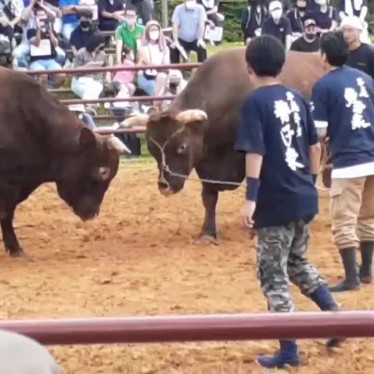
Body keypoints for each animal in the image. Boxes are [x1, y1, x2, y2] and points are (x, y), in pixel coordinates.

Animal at [122, 48, 328, 243]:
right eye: (152, 149)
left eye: (181, 147)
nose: (164, 185)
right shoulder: (204, 162)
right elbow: (209, 197)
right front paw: (207, 233)